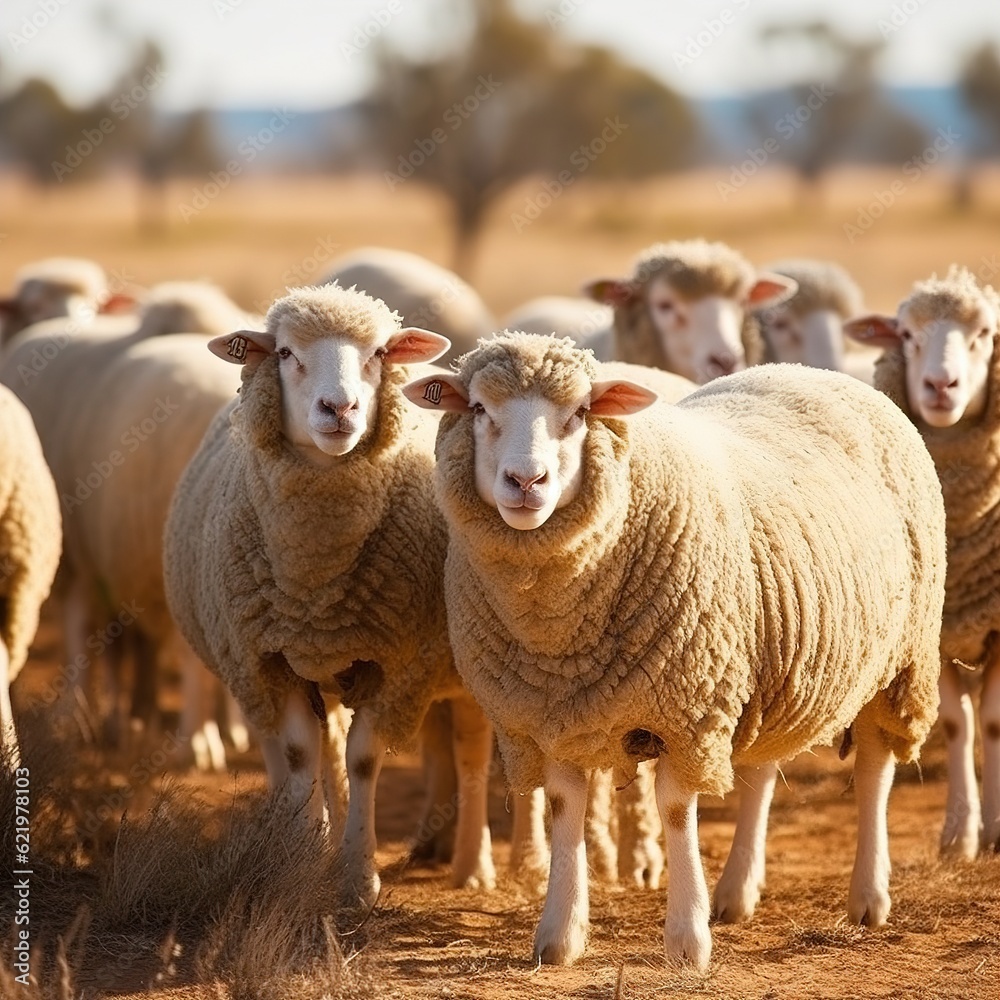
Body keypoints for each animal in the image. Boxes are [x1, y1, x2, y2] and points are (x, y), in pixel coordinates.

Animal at [163, 284, 498, 908]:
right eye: (286, 353)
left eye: (378, 354)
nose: (339, 410)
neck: (315, 581)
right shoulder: (272, 657)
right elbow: (301, 754)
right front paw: (301, 858)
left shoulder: (394, 664)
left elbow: (363, 759)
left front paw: (358, 878)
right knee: (319, 746)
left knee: (469, 754)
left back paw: (472, 865)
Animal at [403, 332, 945, 968]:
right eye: (479, 409)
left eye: (580, 413)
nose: (526, 482)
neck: (557, 637)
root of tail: (815, 372)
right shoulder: (550, 714)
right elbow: (565, 808)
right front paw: (560, 933)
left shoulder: (690, 706)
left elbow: (675, 809)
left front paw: (687, 940)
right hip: (769, 665)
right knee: (761, 771)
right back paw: (737, 892)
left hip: (900, 660)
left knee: (875, 768)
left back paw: (867, 896)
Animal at [845, 265, 1000, 859]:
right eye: (907, 335)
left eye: (984, 334)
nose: (940, 386)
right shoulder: (941, 627)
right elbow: (958, 725)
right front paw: (960, 834)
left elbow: (993, 723)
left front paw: (993, 831)